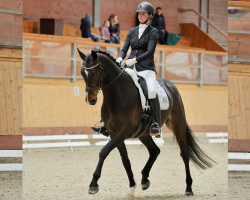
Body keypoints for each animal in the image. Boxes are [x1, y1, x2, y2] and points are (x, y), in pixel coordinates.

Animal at [78, 48, 215, 197]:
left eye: (94, 72)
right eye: (82, 73)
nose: (90, 100)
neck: (117, 94)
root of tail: (171, 85)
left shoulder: (124, 131)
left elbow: (103, 151)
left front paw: (93, 184)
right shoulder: (114, 133)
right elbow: (125, 160)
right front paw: (132, 187)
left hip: (178, 126)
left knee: (184, 154)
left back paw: (188, 188)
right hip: (143, 134)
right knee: (155, 151)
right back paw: (145, 180)